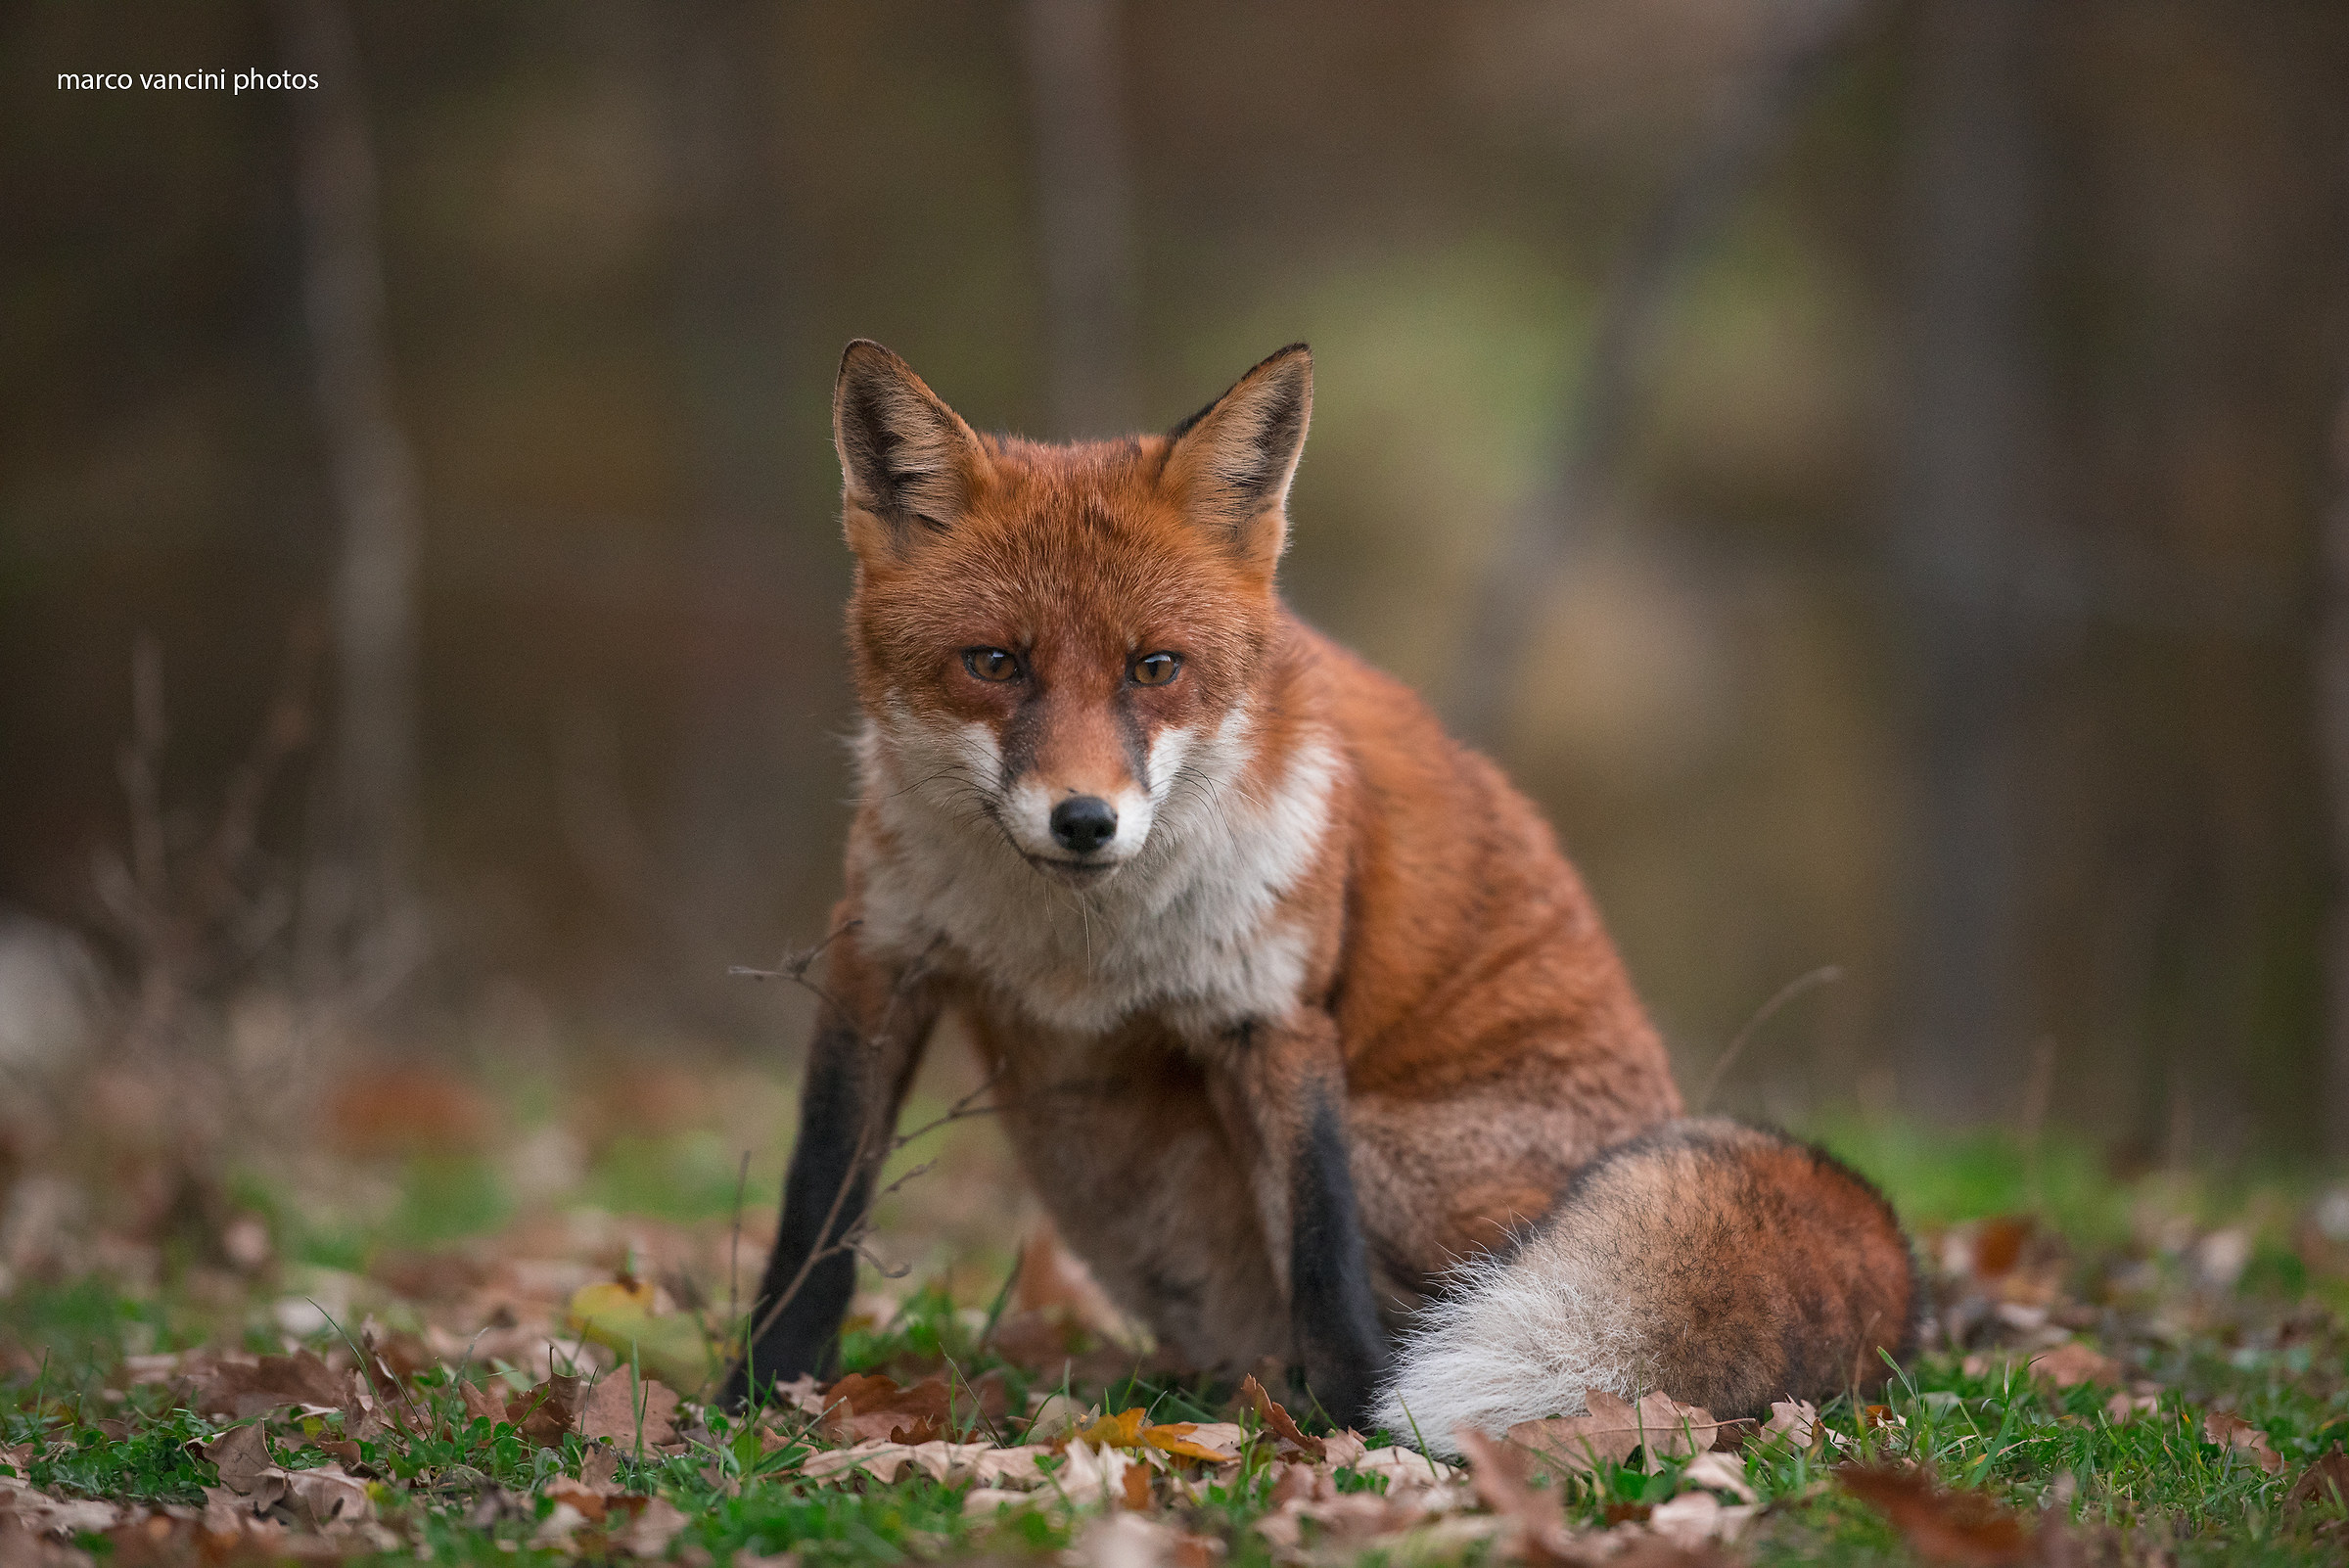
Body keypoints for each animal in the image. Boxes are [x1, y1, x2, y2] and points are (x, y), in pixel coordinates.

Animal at [726, 339, 1918, 1448]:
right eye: (994, 663)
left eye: (1154, 668)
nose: (1084, 820)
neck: (1073, 946)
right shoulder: (880, 959)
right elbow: (817, 1206)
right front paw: (762, 1393)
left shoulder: (1275, 1014)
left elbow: (1321, 1251)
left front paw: (1364, 1427)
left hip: (1408, 1165)